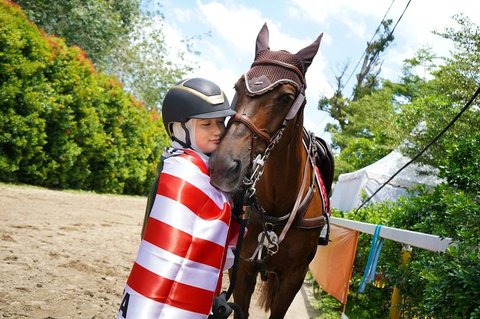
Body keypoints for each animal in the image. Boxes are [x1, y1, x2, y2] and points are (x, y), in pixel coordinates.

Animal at [210, 23, 334, 319]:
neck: (279, 204)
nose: (223, 165)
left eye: (286, 97)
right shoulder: (242, 268)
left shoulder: (293, 278)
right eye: (237, 87)